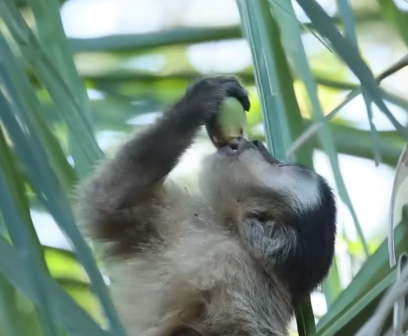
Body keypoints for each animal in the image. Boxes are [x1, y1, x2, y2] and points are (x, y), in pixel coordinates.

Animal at [75, 75, 336, 336]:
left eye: (276, 165)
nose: (255, 143)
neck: (232, 235)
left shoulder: (237, 271)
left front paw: (200, 100)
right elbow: (108, 204)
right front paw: (202, 100)